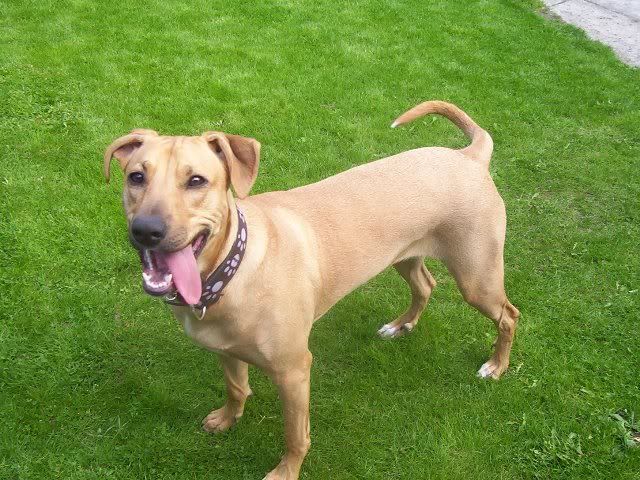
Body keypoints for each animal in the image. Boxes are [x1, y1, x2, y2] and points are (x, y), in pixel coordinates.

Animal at [103, 100, 520, 480]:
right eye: (136, 177)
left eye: (196, 181)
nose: (146, 230)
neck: (232, 272)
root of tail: (470, 155)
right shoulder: (225, 351)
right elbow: (236, 388)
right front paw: (227, 418)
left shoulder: (294, 371)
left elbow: (295, 436)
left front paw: (286, 472)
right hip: (404, 255)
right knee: (426, 285)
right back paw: (401, 325)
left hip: (476, 278)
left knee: (509, 315)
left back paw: (496, 366)